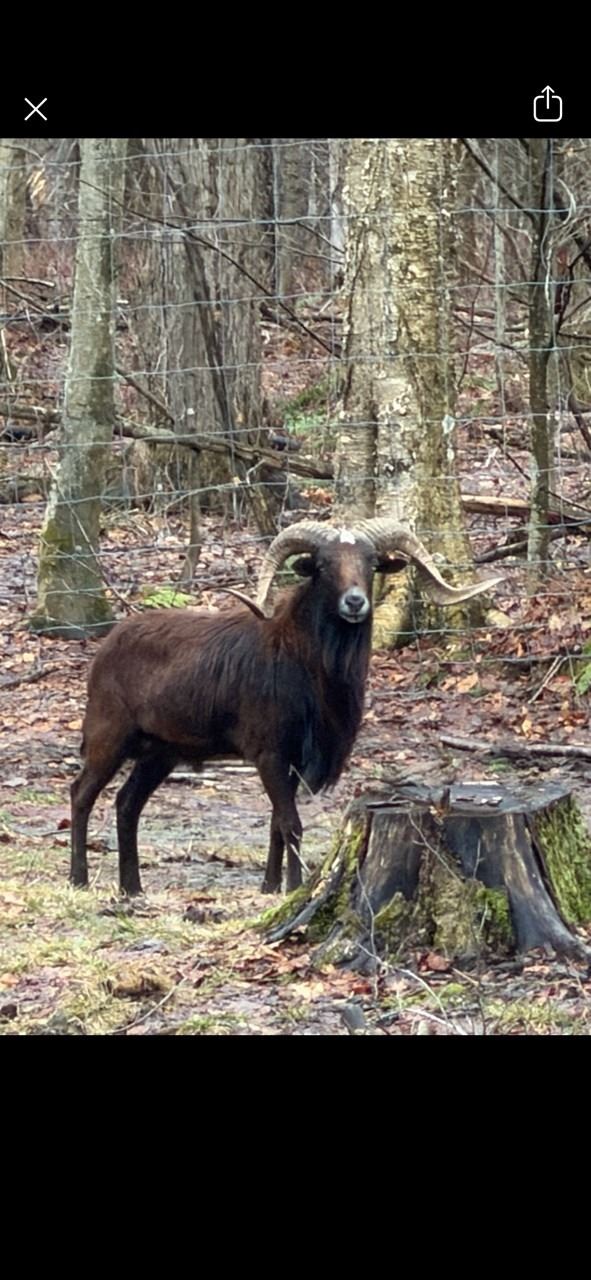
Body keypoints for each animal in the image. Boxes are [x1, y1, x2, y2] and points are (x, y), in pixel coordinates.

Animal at [69, 519, 501, 896]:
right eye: (323, 566)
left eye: (371, 563)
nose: (355, 602)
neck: (297, 660)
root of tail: (107, 649)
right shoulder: (270, 756)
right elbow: (291, 823)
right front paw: (293, 887)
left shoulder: (291, 762)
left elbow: (277, 824)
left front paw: (270, 886)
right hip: (110, 739)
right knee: (81, 794)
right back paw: (79, 880)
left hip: (160, 753)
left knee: (127, 804)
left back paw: (132, 889)